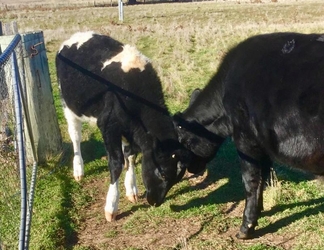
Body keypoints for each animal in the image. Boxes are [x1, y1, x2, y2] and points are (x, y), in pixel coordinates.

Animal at [56, 31, 191, 221]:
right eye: (163, 173)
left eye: (176, 179)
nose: (155, 202)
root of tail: (77, 35)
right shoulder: (108, 126)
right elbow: (116, 163)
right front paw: (111, 206)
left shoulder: (130, 129)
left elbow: (131, 156)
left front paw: (131, 189)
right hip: (68, 105)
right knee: (75, 137)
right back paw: (78, 169)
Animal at [175, 32, 324, 239]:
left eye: (183, 139)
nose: (191, 169)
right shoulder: (262, 144)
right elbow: (263, 176)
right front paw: (259, 211)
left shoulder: (245, 140)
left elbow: (250, 181)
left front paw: (246, 228)